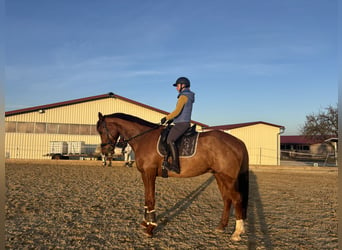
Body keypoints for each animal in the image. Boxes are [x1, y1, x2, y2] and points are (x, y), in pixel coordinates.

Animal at [96, 112, 248, 240]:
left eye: (101, 130)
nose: (105, 151)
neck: (144, 138)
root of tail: (238, 142)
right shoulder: (144, 174)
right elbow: (146, 198)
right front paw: (146, 222)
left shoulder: (150, 173)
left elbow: (151, 199)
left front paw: (151, 228)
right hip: (219, 176)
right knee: (227, 199)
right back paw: (221, 226)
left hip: (228, 178)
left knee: (237, 198)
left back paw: (237, 233)